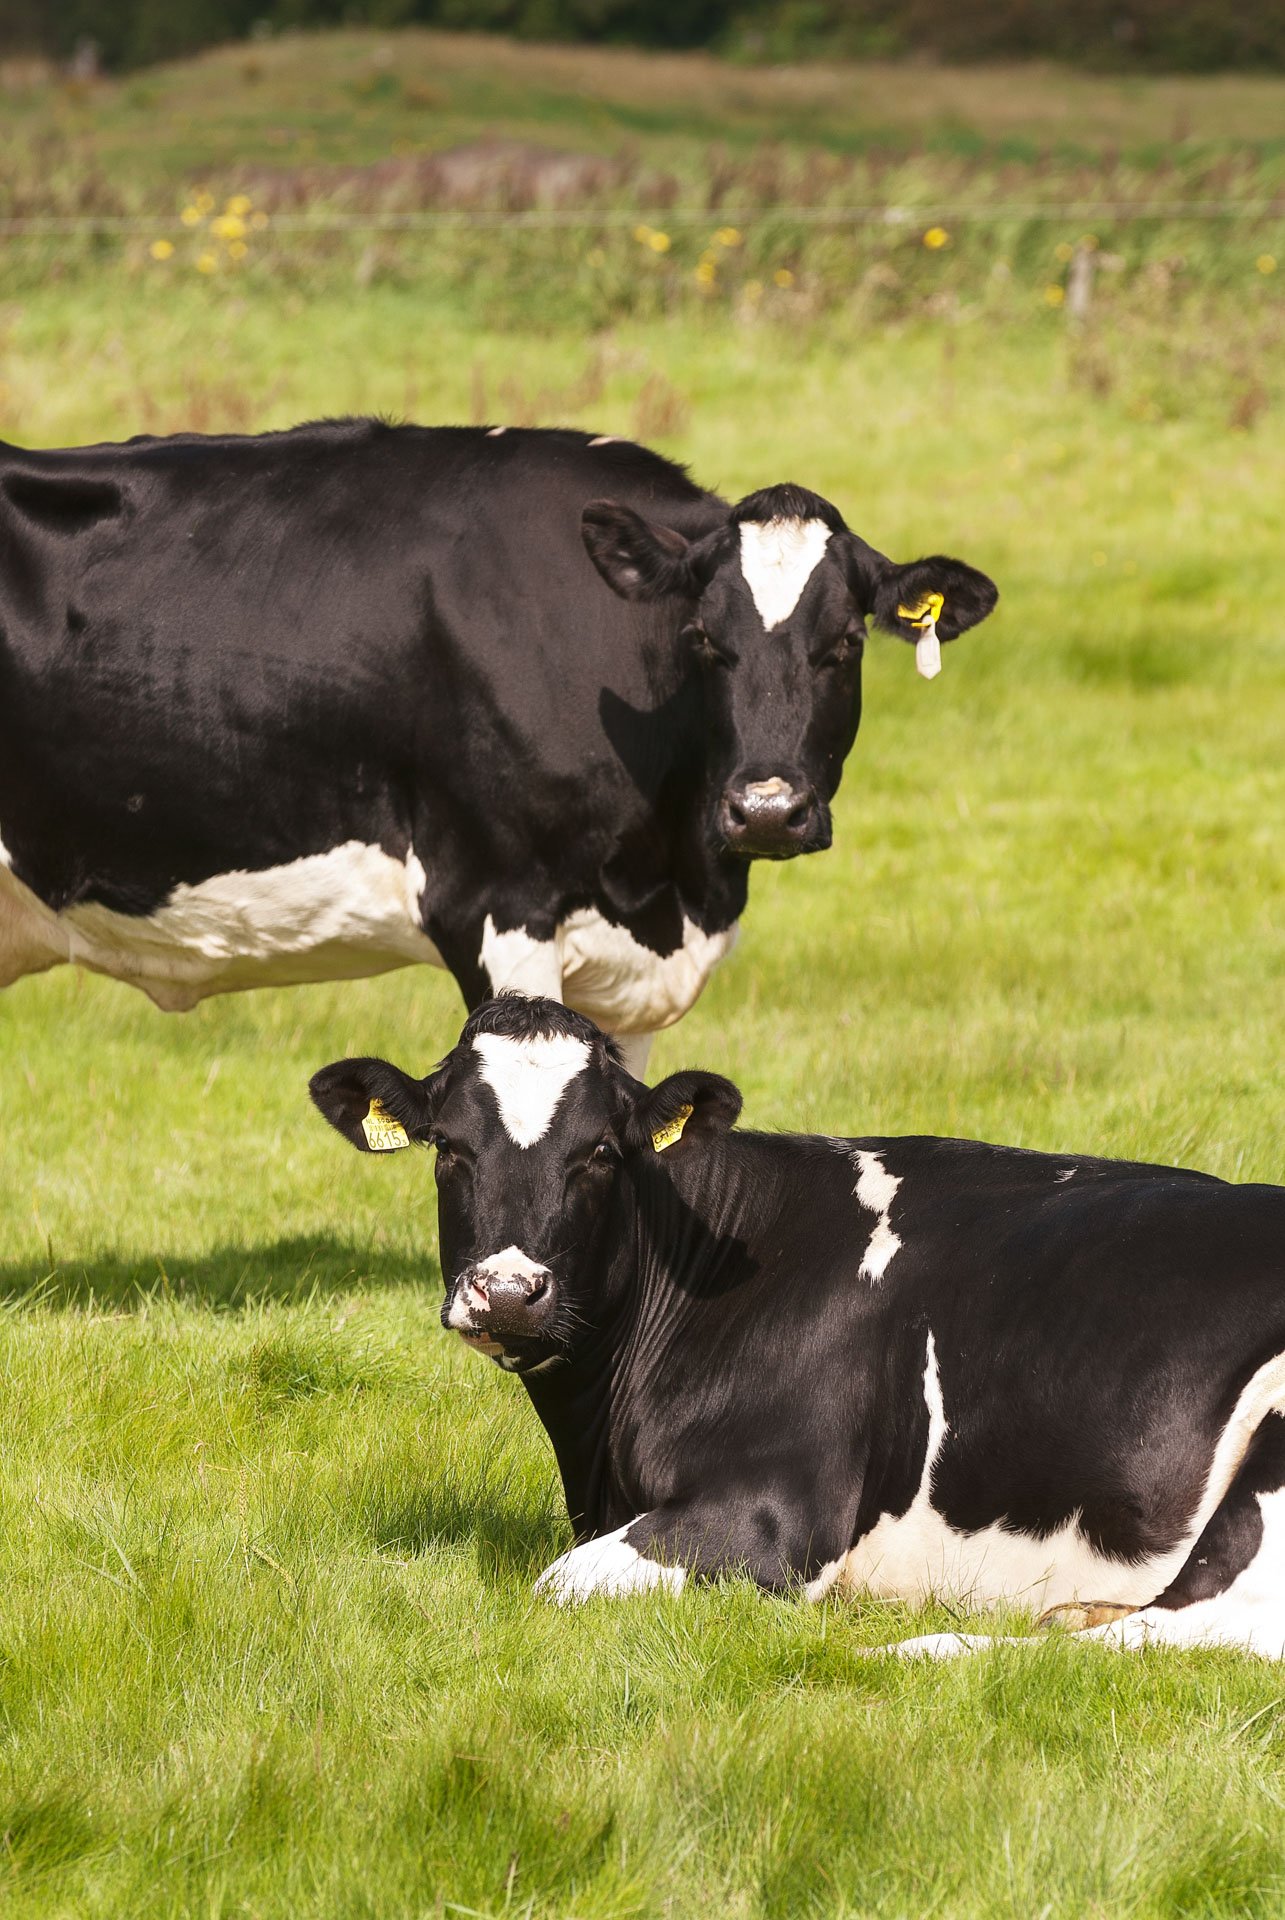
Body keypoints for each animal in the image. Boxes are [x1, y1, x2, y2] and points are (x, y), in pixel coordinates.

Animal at [310, 994, 1285, 1659]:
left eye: (599, 1152)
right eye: (448, 1148)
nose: (509, 1291)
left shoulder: (775, 1507)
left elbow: (559, 1583)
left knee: (1184, 1631)